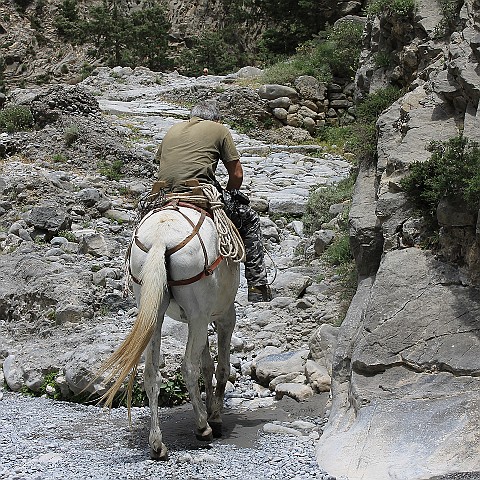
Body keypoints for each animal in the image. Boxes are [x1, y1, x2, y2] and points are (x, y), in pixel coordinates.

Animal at [95, 201, 240, 460]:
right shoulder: (223, 316)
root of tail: (160, 238)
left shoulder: (199, 320)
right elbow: (221, 367)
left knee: (151, 374)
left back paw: (157, 444)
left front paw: (210, 408)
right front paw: (215, 416)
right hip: (198, 315)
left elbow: (207, 365)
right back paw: (202, 426)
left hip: (155, 313)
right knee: (188, 367)